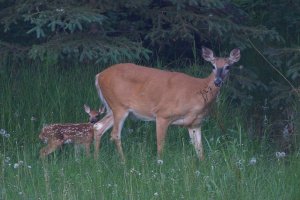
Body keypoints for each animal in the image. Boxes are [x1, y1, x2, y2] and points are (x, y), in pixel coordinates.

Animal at [92, 47, 240, 162]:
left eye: (228, 66)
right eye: (213, 66)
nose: (218, 81)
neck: (198, 92)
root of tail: (99, 76)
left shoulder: (195, 123)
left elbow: (200, 150)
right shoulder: (162, 114)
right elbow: (160, 146)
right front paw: (160, 165)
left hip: (113, 108)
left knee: (98, 126)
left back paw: (96, 160)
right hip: (119, 106)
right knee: (115, 134)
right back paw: (124, 162)